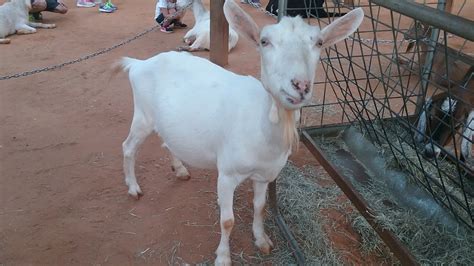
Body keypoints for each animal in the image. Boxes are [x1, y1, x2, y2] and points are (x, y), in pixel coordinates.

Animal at [118, 1, 362, 264]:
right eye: (264, 41)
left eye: (318, 43)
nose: (300, 85)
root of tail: (138, 64)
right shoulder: (226, 173)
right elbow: (227, 220)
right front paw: (223, 257)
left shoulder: (265, 175)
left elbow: (260, 207)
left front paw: (262, 241)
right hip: (143, 115)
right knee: (128, 147)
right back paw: (133, 189)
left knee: (167, 140)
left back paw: (180, 170)